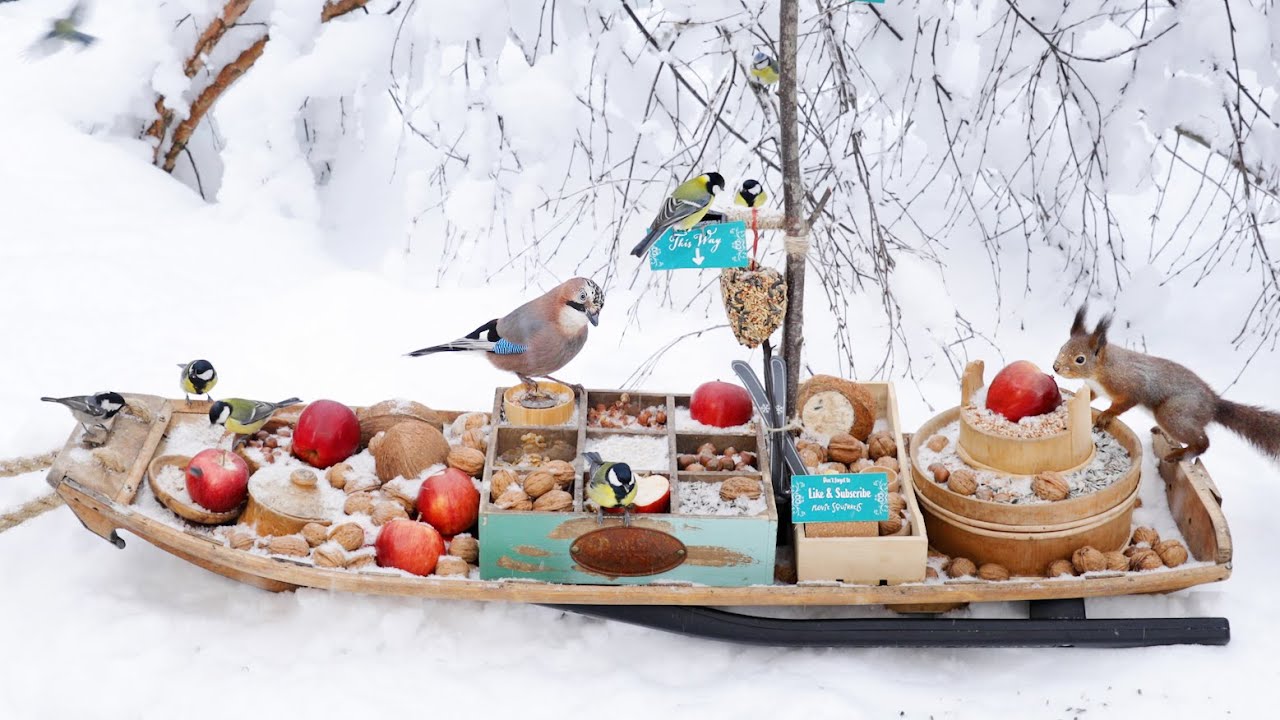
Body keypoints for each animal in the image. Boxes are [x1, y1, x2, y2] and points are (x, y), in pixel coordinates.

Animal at [1053, 305, 1280, 463]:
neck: (1101, 369)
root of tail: (1214, 404)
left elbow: (1124, 403)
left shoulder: (1129, 385)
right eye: (1062, 348)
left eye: (1080, 359)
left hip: (1174, 413)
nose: (1055, 367)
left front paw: (1107, 414)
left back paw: (1181, 454)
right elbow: (1090, 396)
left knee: (1202, 441)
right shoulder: (1096, 388)